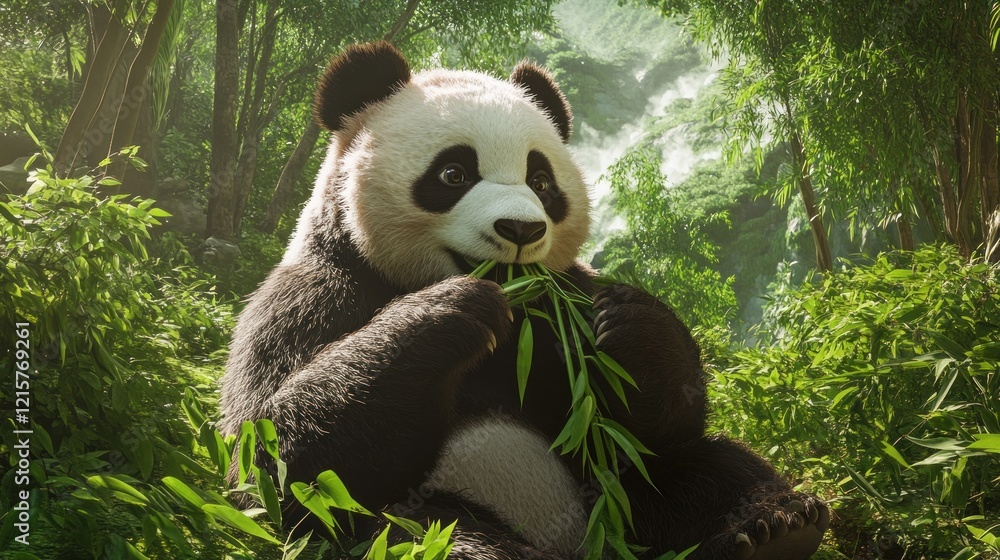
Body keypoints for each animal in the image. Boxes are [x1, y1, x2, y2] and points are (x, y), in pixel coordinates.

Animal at [219, 42, 829, 560]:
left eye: (541, 180)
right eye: (454, 172)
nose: (520, 229)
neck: (517, 315)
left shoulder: (560, 308)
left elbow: (654, 424)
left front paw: (627, 321)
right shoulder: (316, 292)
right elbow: (278, 462)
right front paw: (451, 311)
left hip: (617, 498)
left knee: (697, 469)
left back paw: (777, 527)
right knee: (429, 533)